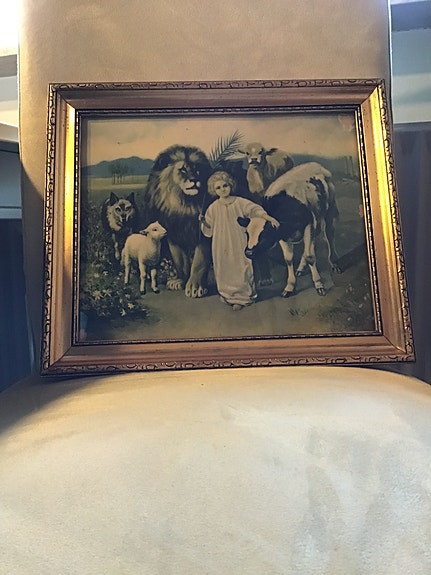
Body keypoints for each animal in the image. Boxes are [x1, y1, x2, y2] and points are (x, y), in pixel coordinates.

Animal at [141, 145, 214, 298]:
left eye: (197, 170)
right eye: (183, 169)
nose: (194, 179)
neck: (183, 204)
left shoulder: (204, 234)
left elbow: (199, 262)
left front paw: (195, 287)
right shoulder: (173, 233)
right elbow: (180, 261)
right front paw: (180, 281)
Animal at [238, 162, 340, 297]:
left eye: (264, 235)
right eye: (247, 233)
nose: (248, 253)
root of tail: (315, 164)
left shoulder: (308, 225)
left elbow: (310, 256)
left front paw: (319, 284)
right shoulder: (282, 235)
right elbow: (288, 259)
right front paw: (290, 286)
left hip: (330, 207)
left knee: (329, 233)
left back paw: (334, 262)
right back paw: (301, 268)